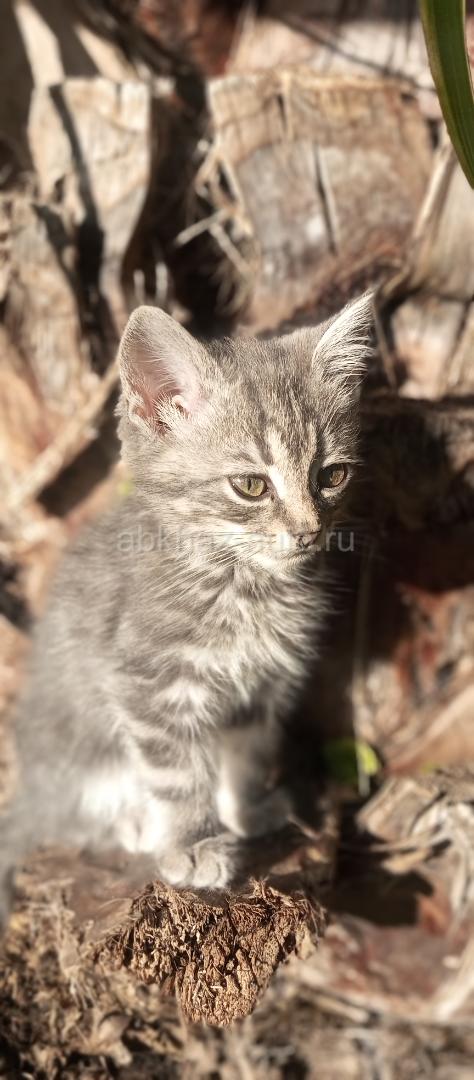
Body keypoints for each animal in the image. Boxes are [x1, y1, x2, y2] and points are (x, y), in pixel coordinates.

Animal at [0, 294, 372, 921]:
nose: (309, 531)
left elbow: (245, 753)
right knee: (69, 820)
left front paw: (246, 811)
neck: (243, 588)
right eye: (251, 485)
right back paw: (134, 825)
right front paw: (193, 841)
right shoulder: (151, 685)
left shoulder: (262, 685)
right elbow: (177, 772)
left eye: (332, 476)